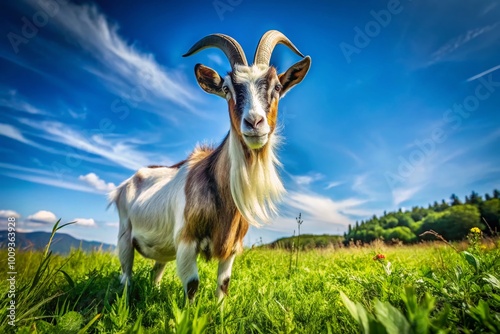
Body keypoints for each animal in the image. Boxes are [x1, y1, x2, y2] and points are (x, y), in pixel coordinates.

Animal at [109, 30, 310, 300]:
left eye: (277, 86)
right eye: (226, 88)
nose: (254, 123)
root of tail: (125, 185)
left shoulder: (232, 249)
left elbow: (223, 285)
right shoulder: (186, 241)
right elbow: (192, 286)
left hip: (161, 249)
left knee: (156, 272)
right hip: (124, 235)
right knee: (126, 276)